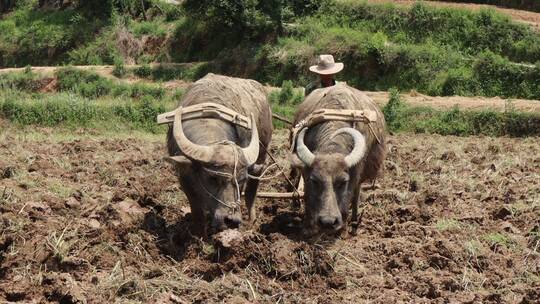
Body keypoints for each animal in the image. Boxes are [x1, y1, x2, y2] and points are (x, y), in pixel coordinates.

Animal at [166, 73, 274, 235]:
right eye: (213, 178)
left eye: (241, 180)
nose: (232, 220)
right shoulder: (184, 177)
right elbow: (197, 211)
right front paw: (199, 235)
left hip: (262, 154)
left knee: (252, 192)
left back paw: (252, 222)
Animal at [288, 84, 386, 236]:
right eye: (314, 181)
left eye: (343, 182)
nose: (328, 222)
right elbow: (308, 197)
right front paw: (308, 227)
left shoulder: (355, 174)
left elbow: (349, 196)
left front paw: (343, 228)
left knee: (356, 194)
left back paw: (354, 223)